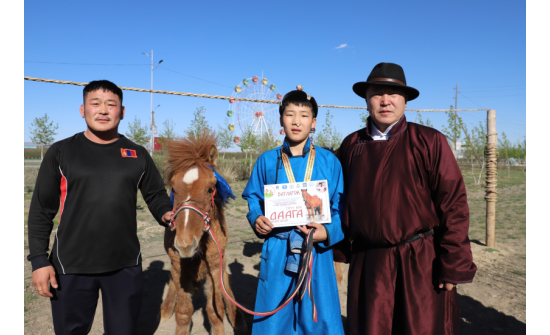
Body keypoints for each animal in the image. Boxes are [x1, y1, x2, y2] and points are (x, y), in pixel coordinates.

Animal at [158, 131, 247, 335]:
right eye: (173, 188)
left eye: (210, 188)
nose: (184, 244)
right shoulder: (178, 268)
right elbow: (183, 312)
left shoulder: (214, 267)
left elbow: (215, 310)